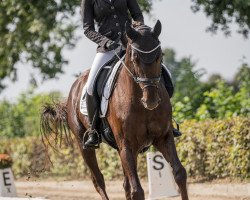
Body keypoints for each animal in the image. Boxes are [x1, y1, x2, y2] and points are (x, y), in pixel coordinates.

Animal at [41, 20, 188, 200]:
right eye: (135, 57)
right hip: (85, 145)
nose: (151, 100)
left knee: (125, 184)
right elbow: (137, 190)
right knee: (98, 180)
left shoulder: (163, 137)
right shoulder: (127, 144)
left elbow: (179, 173)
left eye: (160, 56)